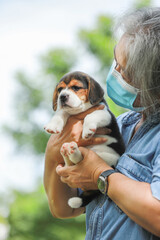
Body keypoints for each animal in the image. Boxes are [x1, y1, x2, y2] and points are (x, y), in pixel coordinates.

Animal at [44, 71, 125, 208]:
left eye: (76, 88)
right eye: (60, 89)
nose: (62, 97)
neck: (79, 110)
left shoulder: (105, 114)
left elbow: (90, 115)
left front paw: (87, 130)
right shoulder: (67, 111)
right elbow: (61, 113)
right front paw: (53, 125)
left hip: (106, 157)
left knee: (79, 159)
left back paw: (73, 151)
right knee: (70, 163)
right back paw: (67, 149)